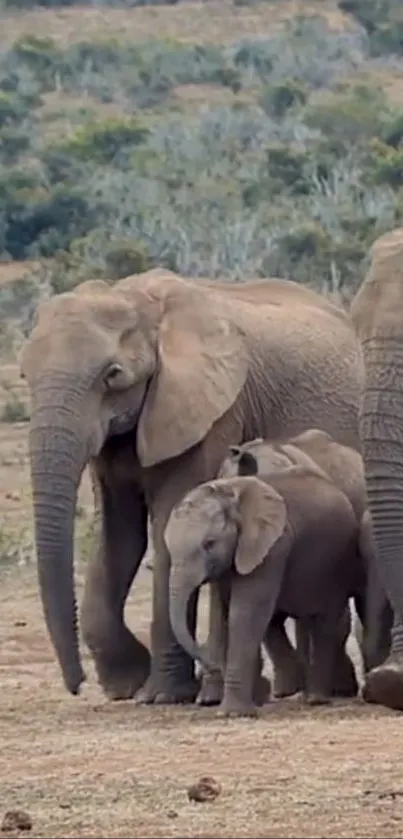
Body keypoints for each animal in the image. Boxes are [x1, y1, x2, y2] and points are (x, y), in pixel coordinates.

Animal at [164, 466, 362, 716]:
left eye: (209, 543)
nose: (212, 666)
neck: (231, 493)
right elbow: (224, 612)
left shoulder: (272, 546)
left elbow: (244, 612)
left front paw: (233, 713)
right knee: (283, 620)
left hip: (337, 564)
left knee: (323, 623)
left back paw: (315, 699)